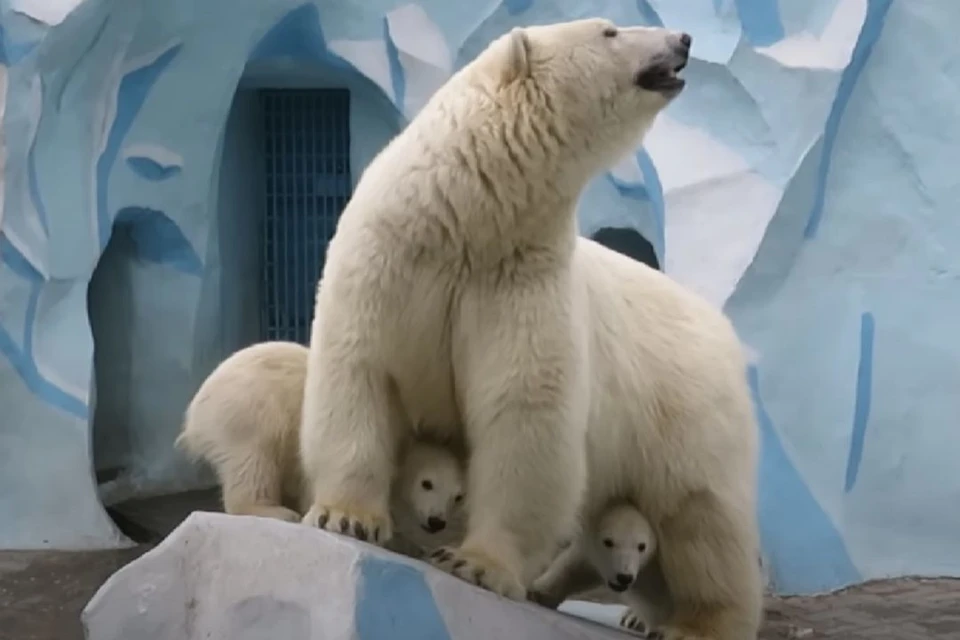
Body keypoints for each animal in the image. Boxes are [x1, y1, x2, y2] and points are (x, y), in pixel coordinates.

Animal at [302, 17, 764, 636]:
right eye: (610, 30)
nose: (684, 39)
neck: (463, 218)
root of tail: (720, 328)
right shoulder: (391, 259)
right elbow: (361, 370)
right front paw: (347, 516)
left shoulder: (520, 280)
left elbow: (523, 414)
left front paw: (475, 563)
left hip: (684, 412)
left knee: (703, 520)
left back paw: (696, 621)